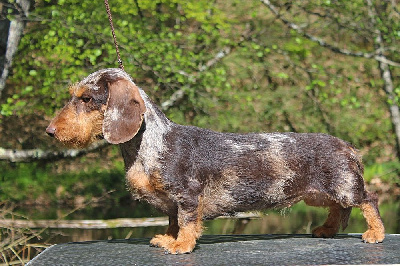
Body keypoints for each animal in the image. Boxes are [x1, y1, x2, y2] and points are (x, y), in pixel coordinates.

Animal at [46, 68, 384, 254]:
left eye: (86, 99)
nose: (50, 131)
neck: (150, 143)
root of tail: (347, 145)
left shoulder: (186, 196)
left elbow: (186, 223)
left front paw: (181, 245)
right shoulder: (172, 203)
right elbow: (172, 222)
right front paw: (167, 239)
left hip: (344, 186)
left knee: (368, 200)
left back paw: (376, 233)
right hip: (321, 195)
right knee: (339, 211)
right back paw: (326, 230)